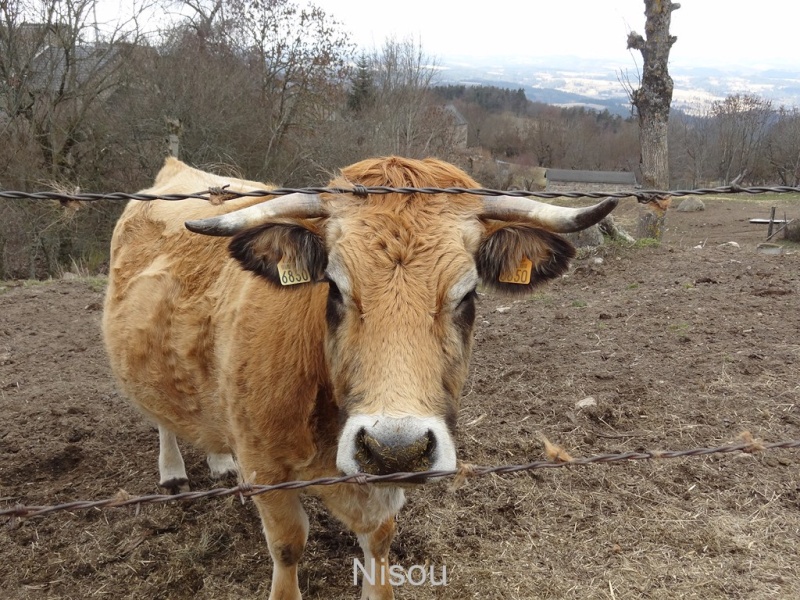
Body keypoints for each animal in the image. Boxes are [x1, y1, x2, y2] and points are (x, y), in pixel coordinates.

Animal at [103, 156, 616, 600]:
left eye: (468, 295)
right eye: (334, 287)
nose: (396, 447)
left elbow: (380, 538)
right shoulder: (268, 468)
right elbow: (287, 545)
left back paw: (221, 463)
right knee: (163, 417)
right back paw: (173, 472)